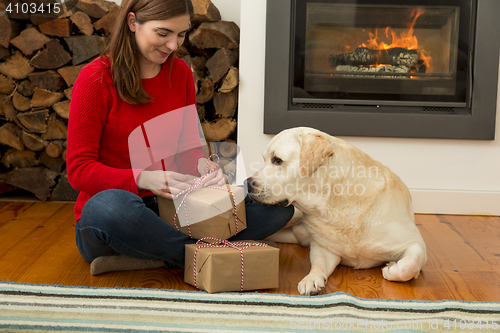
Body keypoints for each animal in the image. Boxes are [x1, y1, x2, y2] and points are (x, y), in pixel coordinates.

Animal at [246, 126, 426, 294]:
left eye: (277, 160)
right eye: (264, 160)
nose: (247, 183)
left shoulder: (416, 242)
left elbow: (408, 266)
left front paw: (391, 268)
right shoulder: (325, 248)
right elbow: (318, 263)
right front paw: (311, 279)